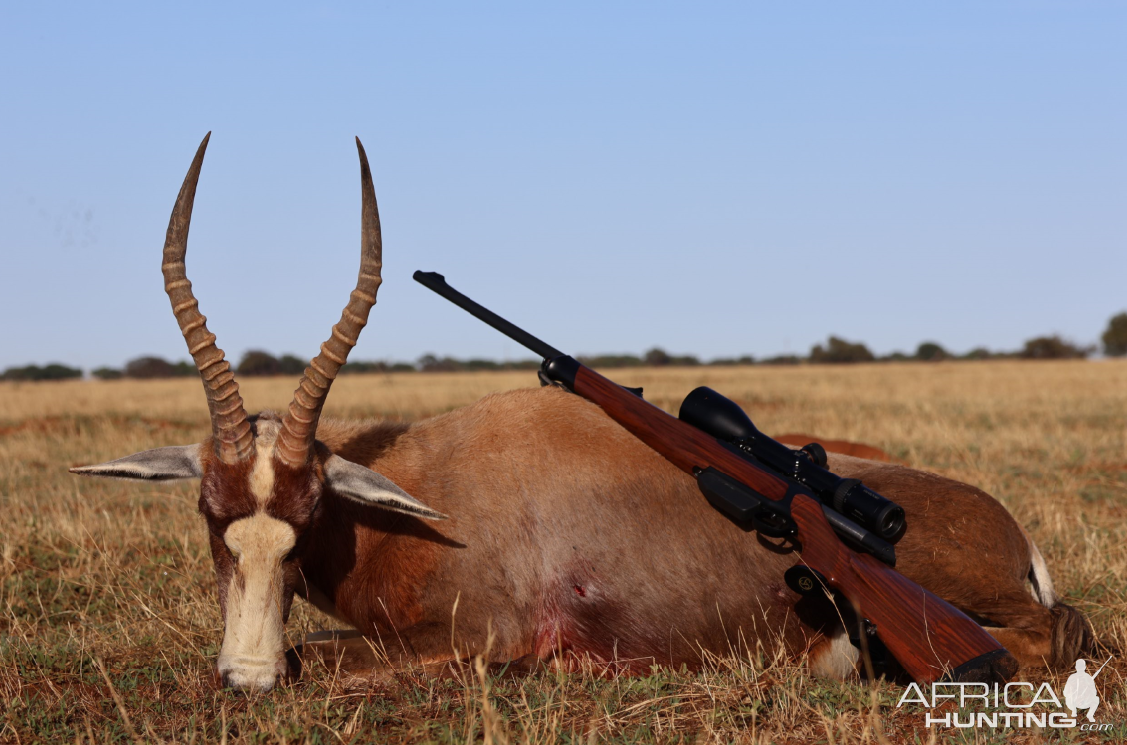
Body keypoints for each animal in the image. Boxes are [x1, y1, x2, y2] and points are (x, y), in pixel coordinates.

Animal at [70, 135, 1090, 689]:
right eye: (211, 514)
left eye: (308, 511)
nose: (243, 673)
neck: (421, 498)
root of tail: (1010, 533)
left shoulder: (475, 639)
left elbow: (318, 654)